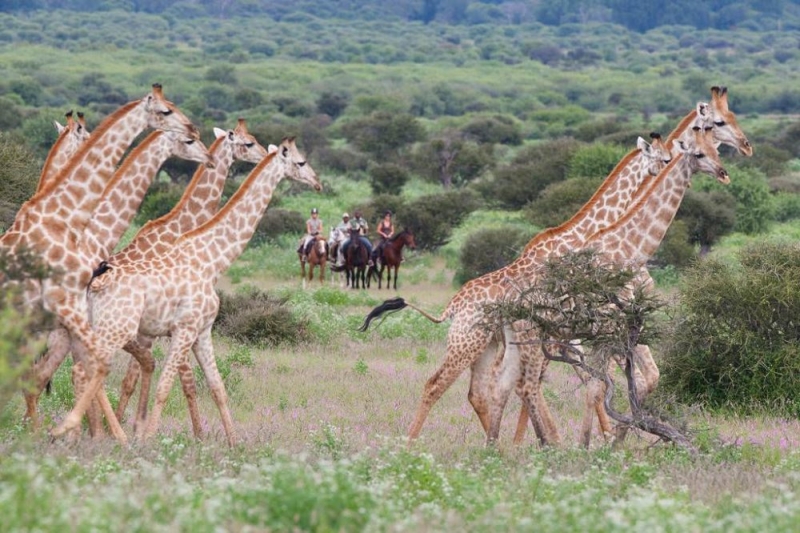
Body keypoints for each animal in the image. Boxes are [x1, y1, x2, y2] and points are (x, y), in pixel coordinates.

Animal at [75, 137, 318, 444]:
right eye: (301, 162)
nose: (318, 183)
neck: (211, 259)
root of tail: (94, 283)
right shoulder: (185, 329)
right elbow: (167, 386)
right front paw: (149, 439)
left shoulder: (202, 331)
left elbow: (217, 387)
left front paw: (234, 444)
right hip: (116, 329)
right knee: (88, 369)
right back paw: (99, 435)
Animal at [360, 89, 752, 446]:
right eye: (716, 123)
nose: (743, 150)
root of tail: (451, 306)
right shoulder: (592, 329)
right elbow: (596, 384)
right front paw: (589, 441)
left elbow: (617, 380)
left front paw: (602, 438)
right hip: (478, 340)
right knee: (457, 384)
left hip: (490, 343)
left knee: (487, 389)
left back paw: (503, 444)